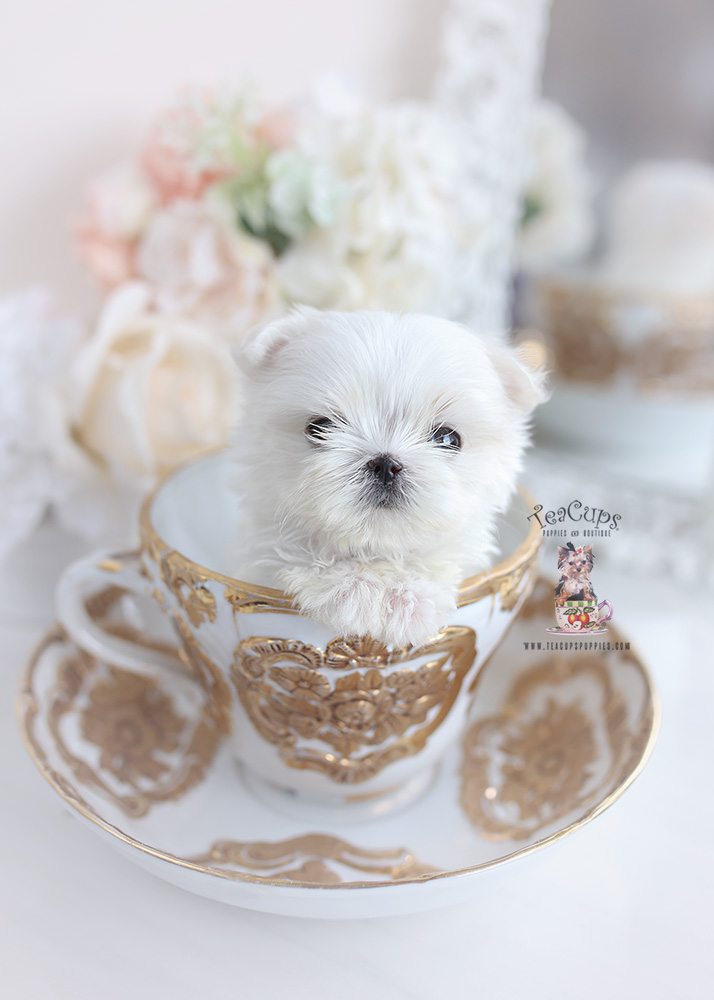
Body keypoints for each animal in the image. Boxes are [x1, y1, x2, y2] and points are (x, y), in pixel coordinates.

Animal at [234, 306, 544, 648]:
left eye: (449, 438)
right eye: (319, 428)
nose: (385, 464)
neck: (374, 549)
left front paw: (405, 596)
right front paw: (354, 589)